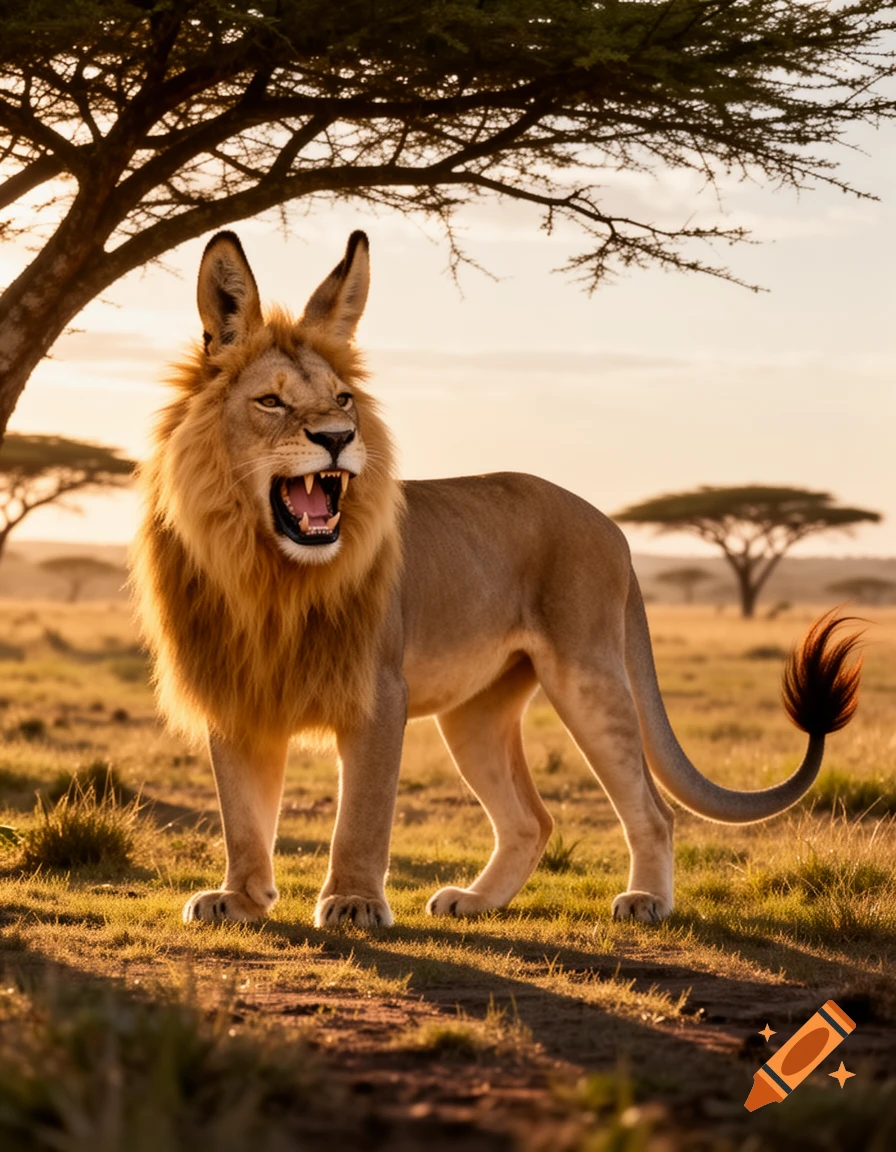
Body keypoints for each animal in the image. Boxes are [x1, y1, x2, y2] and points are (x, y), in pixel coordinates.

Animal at [133, 229, 862, 929]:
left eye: (343, 398)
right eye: (271, 401)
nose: (338, 437)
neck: (269, 572)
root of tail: (611, 526)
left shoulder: (379, 691)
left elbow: (362, 816)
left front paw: (354, 903)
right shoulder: (235, 690)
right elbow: (243, 816)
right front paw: (240, 900)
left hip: (587, 675)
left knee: (652, 809)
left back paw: (645, 901)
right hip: (475, 713)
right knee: (531, 820)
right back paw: (476, 901)